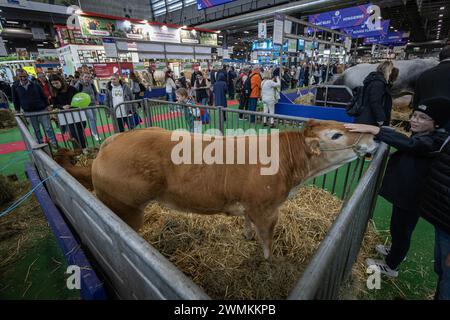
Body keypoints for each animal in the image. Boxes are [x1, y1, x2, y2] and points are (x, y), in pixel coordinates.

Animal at [90, 121, 376, 258]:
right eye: (335, 135)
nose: (373, 136)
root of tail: (113, 140)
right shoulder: (266, 209)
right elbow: (267, 238)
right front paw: (268, 260)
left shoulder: (250, 204)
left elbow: (248, 224)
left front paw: (247, 235)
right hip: (125, 208)